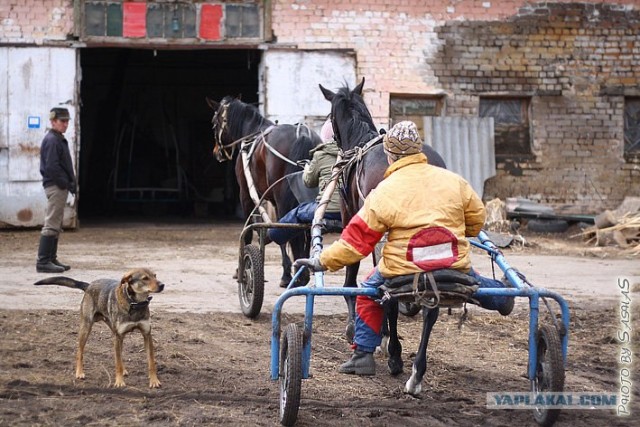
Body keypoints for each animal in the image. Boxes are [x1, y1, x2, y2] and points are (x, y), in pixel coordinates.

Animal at [34, 270, 165, 390]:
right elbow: (117, 363)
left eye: (155, 275)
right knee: (80, 352)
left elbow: (151, 361)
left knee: (118, 354)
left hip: (115, 333)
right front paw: (119, 382)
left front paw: (154, 381)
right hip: (86, 328)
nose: (162, 285)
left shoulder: (147, 335)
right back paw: (79, 372)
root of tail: (89, 285)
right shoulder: (118, 336)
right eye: (145, 278)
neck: (135, 303)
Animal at [208, 98, 322, 288]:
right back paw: (303, 270)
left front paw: (241, 270)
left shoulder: (245, 195)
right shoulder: (275, 201)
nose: (216, 152)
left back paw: (296, 275)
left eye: (214, 123)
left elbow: (249, 233)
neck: (251, 134)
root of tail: (302, 134)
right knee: (305, 228)